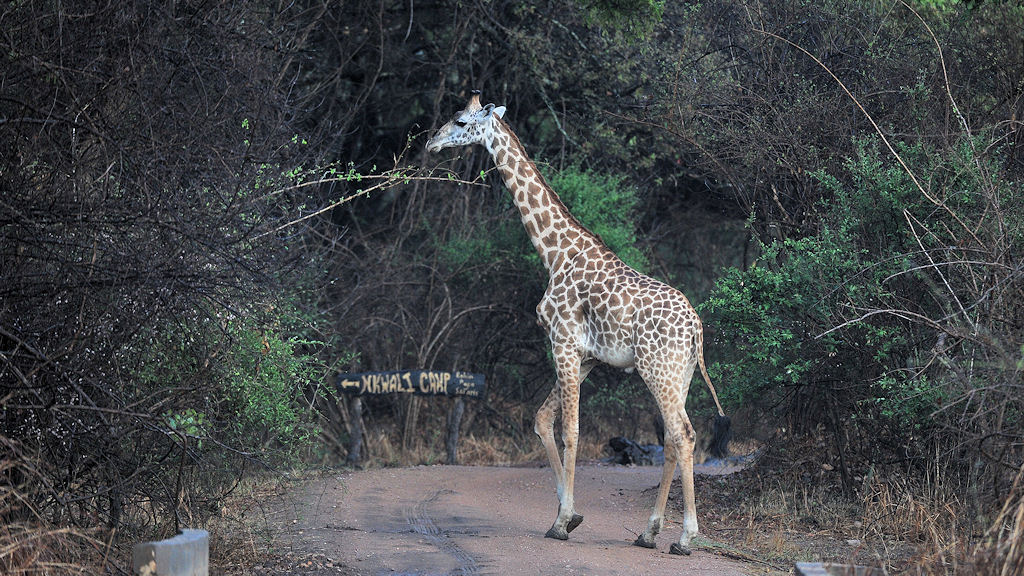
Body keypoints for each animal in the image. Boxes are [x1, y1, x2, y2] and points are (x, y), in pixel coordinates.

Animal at [426, 91, 729, 556]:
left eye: (460, 121)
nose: (431, 142)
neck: (554, 254)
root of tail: (696, 327)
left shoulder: (563, 343)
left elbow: (571, 430)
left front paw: (561, 521)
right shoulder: (586, 357)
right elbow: (542, 420)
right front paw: (569, 514)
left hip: (657, 370)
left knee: (683, 435)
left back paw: (684, 538)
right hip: (681, 375)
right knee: (676, 438)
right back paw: (648, 533)